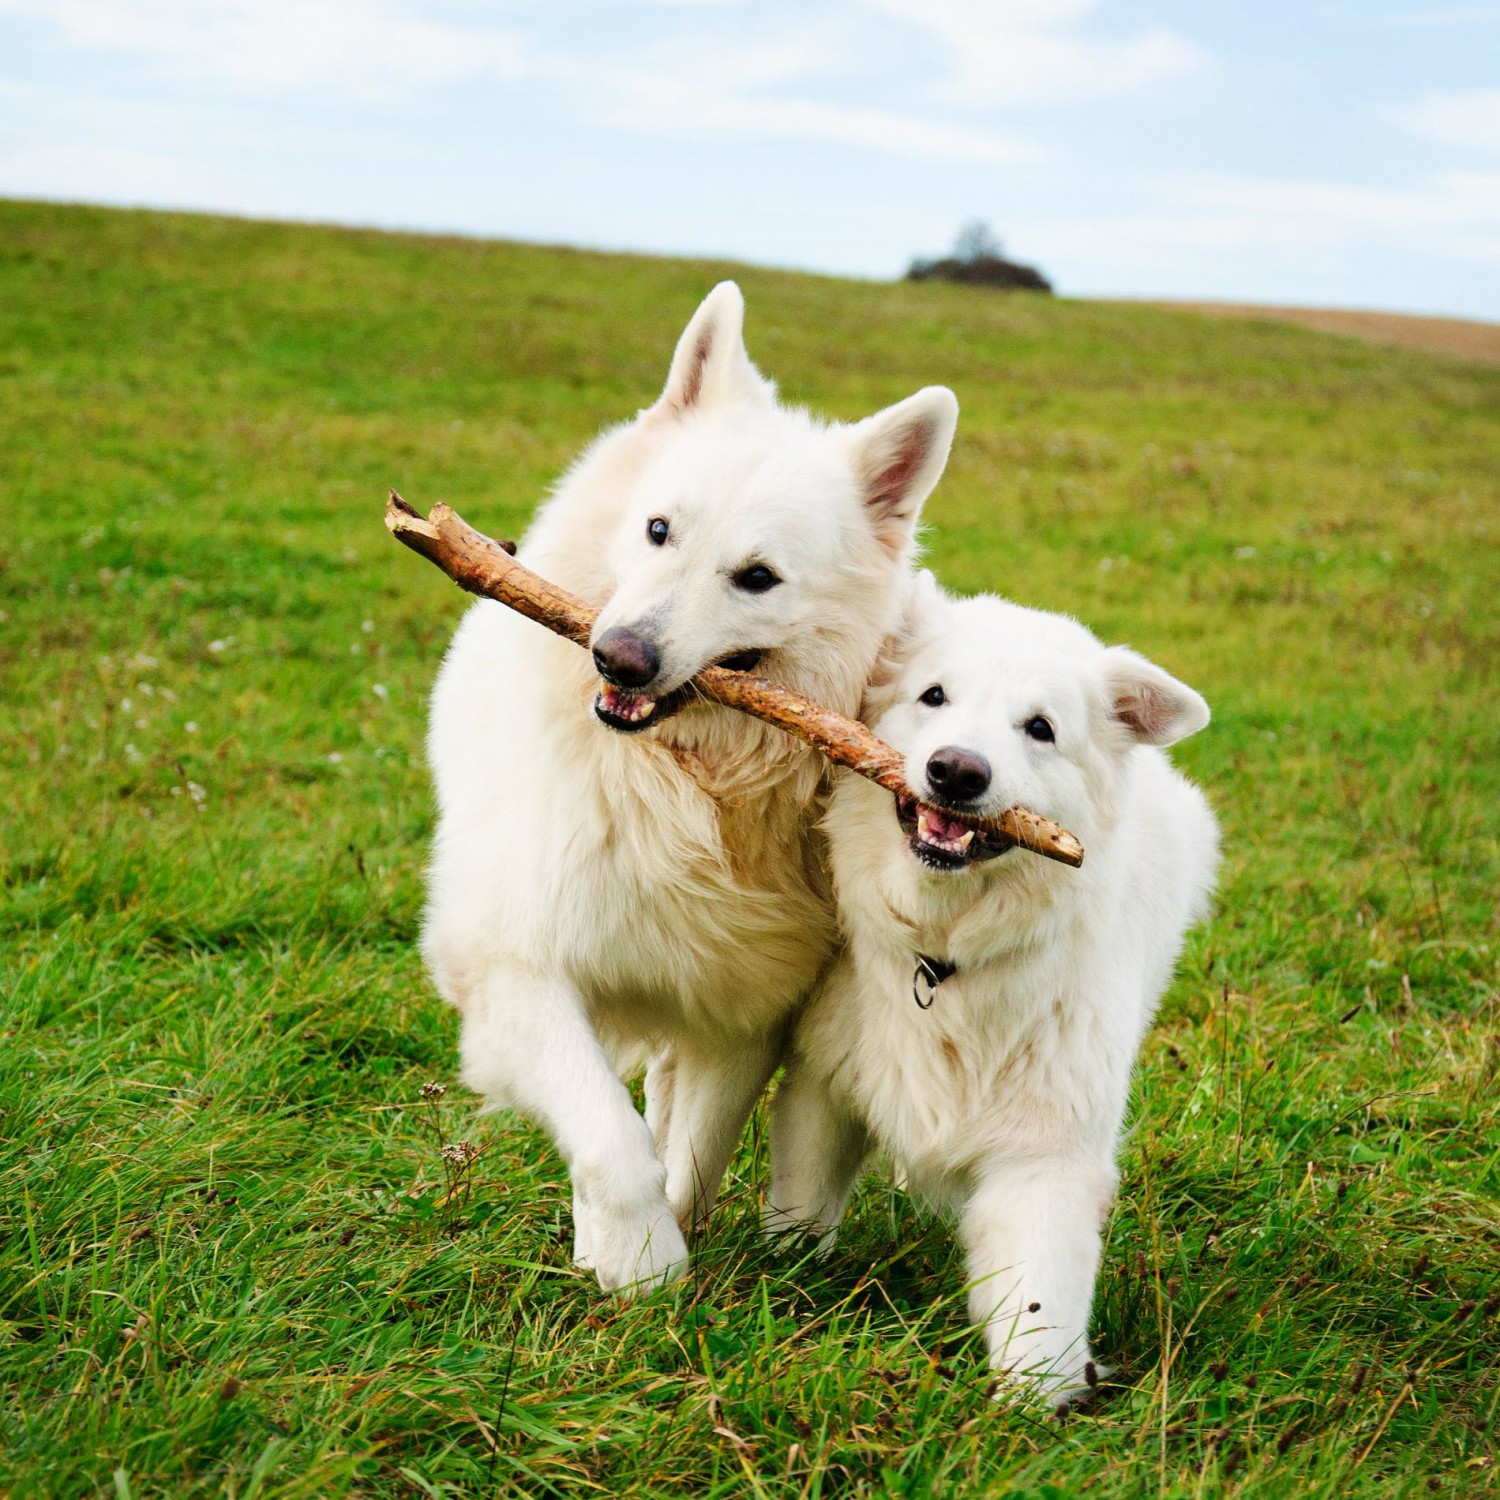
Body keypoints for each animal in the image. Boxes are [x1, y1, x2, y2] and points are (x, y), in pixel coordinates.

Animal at [423, 286, 960, 1296]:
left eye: (757, 578)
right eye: (658, 530)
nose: (618, 657)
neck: (686, 781)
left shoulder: (743, 1008)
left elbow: (692, 1153)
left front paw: (653, 1252)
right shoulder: (516, 966)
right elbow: (609, 1135)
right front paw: (638, 1263)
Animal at [762, 576, 1218, 1404]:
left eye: (1040, 729)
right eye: (933, 696)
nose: (957, 771)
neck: (944, 954)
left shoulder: (1046, 1156)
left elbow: (1039, 1298)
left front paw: (1035, 1408)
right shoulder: (825, 1085)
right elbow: (803, 1205)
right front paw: (783, 1277)